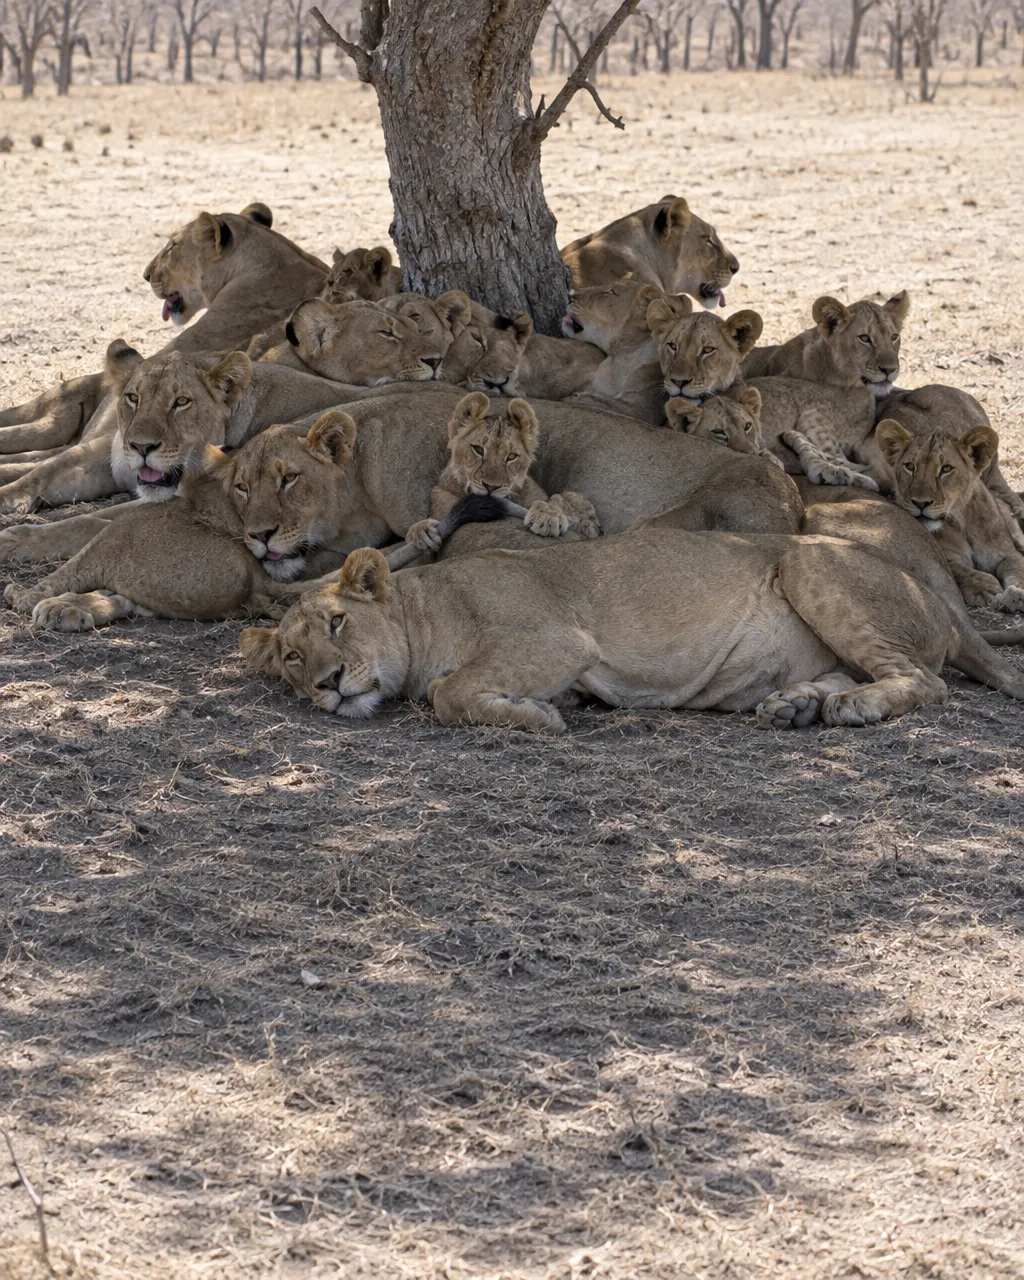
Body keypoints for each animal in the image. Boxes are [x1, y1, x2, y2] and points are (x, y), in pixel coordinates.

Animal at [239, 530, 1024, 733]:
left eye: (337, 620)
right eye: (291, 657)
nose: (326, 683)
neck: (426, 604)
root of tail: (940, 599)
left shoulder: (556, 640)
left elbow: (449, 691)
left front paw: (539, 718)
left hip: (808, 560)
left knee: (925, 681)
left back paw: (852, 708)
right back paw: (797, 706)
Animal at [402, 392, 600, 557]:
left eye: (511, 456)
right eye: (478, 449)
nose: (491, 487)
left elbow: (560, 502)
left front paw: (548, 515)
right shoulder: (440, 496)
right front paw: (421, 532)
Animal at [875, 419, 1024, 612]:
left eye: (946, 469)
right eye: (910, 467)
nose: (920, 503)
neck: (961, 523)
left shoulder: (1007, 553)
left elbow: (1017, 566)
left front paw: (1016, 593)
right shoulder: (946, 558)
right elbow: (962, 570)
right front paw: (984, 588)